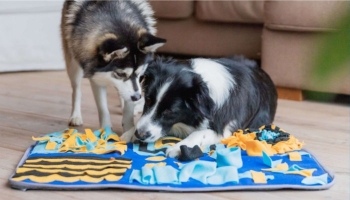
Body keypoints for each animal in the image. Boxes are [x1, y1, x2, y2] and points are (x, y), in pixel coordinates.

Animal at [60, 0, 166, 131]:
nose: (137, 97)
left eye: (140, 73)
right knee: (76, 89)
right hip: (73, 64)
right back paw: (75, 115)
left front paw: (128, 127)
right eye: (120, 73)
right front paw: (105, 130)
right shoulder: (96, 77)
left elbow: (128, 107)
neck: (114, 16)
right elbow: (103, 108)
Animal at [121, 55, 278, 158]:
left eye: (169, 111)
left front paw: (178, 148)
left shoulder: (225, 129)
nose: (140, 135)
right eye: (148, 99)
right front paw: (130, 132)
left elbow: (199, 133)